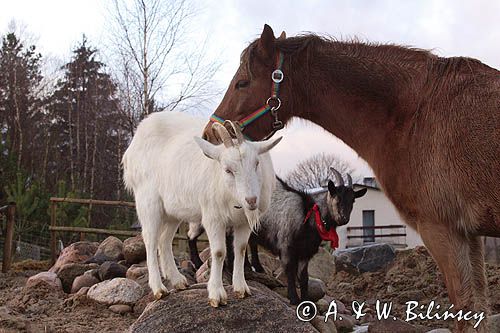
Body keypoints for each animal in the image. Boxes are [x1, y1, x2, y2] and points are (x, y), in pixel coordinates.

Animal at [119, 112, 280, 306]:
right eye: (227, 170)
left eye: (256, 164)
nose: (251, 200)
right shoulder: (213, 218)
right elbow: (219, 252)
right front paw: (217, 294)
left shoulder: (243, 222)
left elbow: (241, 249)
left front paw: (242, 288)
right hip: (148, 200)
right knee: (150, 240)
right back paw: (159, 289)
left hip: (173, 210)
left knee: (164, 240)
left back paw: (177, 280)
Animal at [204, 25, 500, 330]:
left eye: (242, 83)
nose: (209, 134)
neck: (414, 116)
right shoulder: (470, 235)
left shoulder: (444, 231)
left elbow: (467, 310)